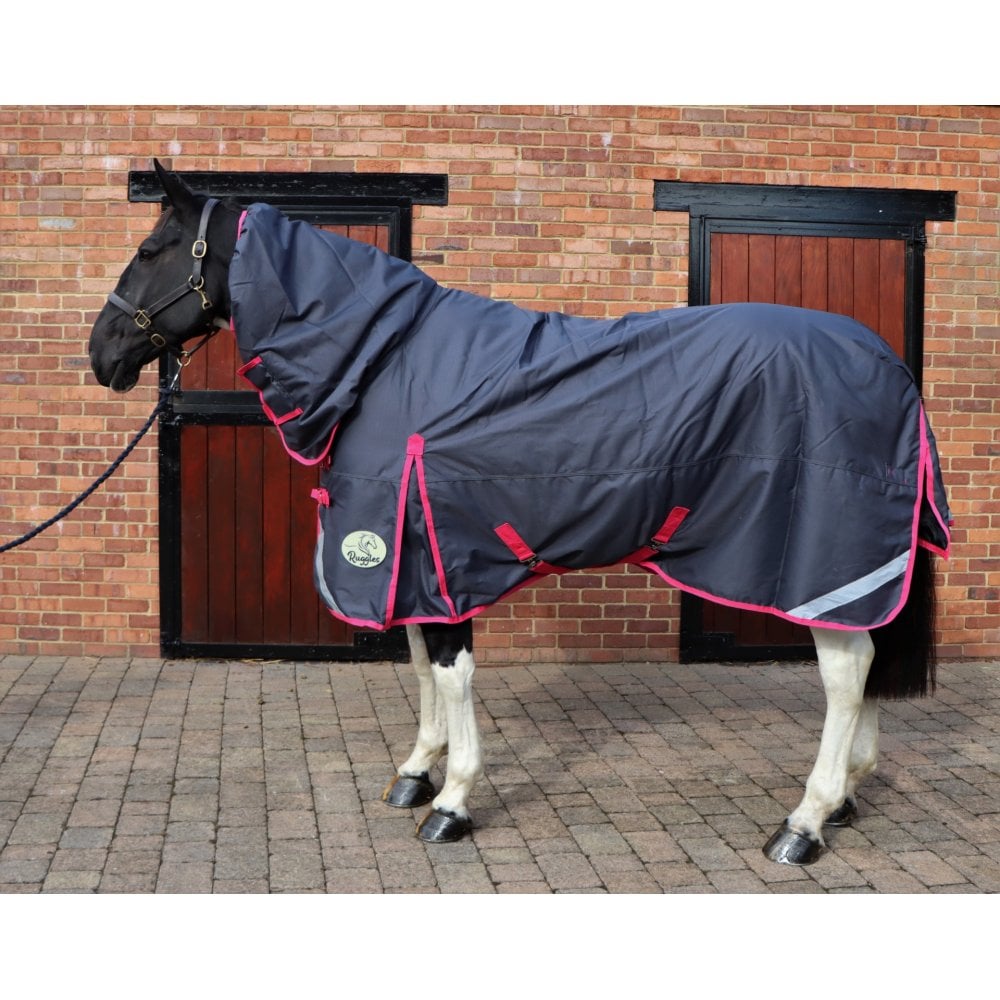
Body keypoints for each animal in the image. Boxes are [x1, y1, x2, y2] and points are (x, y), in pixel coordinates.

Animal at [88, 161, 951, 865]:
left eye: (152, 249)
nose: (100, 356)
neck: (383, 363)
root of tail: (886, 366)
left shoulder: (431, 547)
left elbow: (452, 671)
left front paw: (451, 802)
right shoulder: (412, 559)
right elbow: (419, 663)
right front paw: (416, 772)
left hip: (823, 561)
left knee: (846, 671)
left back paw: (804, 822)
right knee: (866, 660)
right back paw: (844, 798)